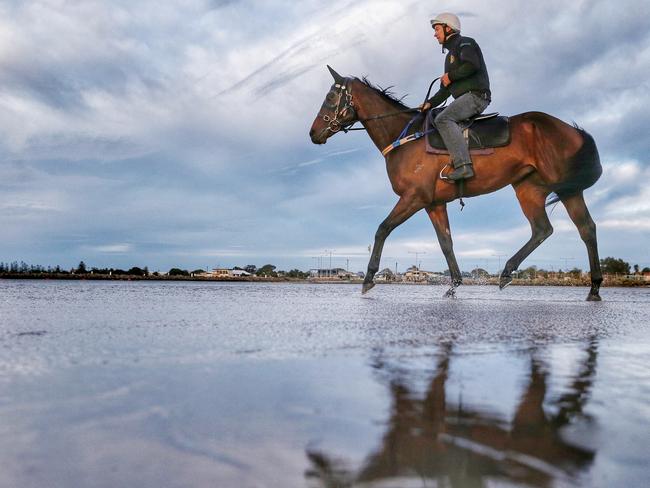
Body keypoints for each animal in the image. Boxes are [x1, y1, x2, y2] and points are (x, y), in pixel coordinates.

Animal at [308, 66, 604, 300]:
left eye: (331, 96)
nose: (313, 133)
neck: (406, 137)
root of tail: (571, 130)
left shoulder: (413, 197)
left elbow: (382, 229)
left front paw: (369, 279)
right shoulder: (434, 204)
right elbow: (446, 242)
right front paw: (454, 284)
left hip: (556, 188)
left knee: (556, 229)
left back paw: (509, 272)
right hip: (541, 190)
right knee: (571, 229)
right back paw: (592, 287)